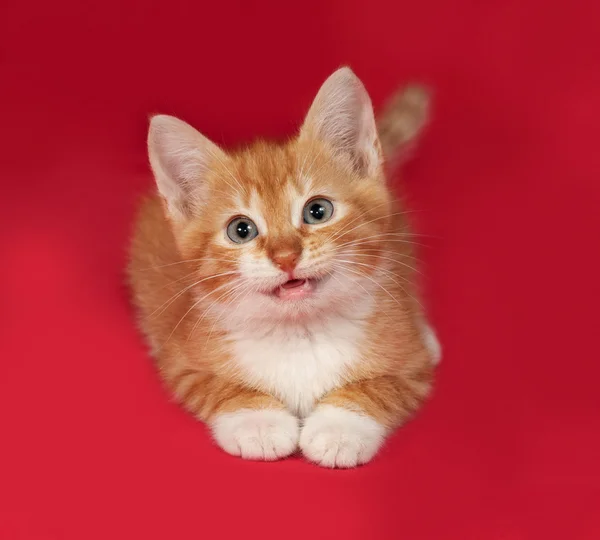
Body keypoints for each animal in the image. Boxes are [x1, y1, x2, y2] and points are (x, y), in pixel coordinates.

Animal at [126, 67, 440, 466]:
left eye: (318, 211)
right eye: (240, 230)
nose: (286, 256)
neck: (299, 331)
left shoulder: (411, 368)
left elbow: (381, 387)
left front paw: (340, 429)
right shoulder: (182, 362)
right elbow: (219, 387)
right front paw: (258, 423)